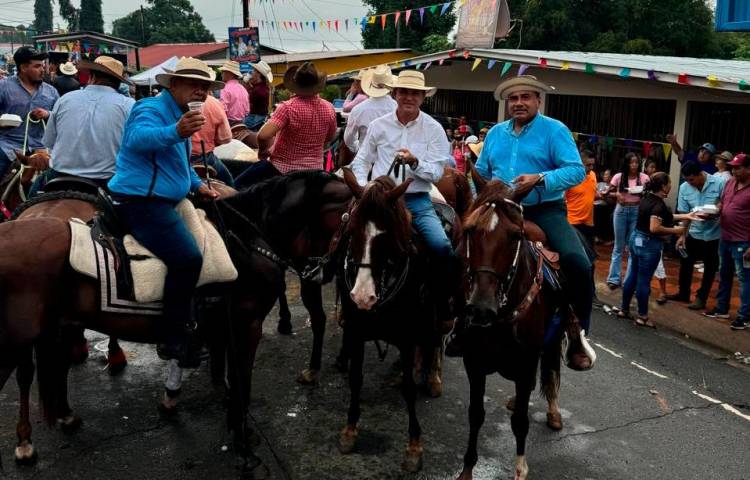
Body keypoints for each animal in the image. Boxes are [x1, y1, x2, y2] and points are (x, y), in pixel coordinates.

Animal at [0, 170, 354, 472]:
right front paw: (242, 445)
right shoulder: (247, 327)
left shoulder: (226, 330)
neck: (247, 238)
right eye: (353, 222)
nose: (325, 273)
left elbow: (232, 382)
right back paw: (26, 443)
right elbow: (242, 384)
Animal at [450, 176, 568, 480]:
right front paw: (467, 469)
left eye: (515, 236)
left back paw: (553, 411)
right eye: (470, 229)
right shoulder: (474, 362)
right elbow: (475, 414)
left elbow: (520, 422)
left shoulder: (525, 368)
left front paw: (519, 469)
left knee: (551, 369)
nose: (481, 307)